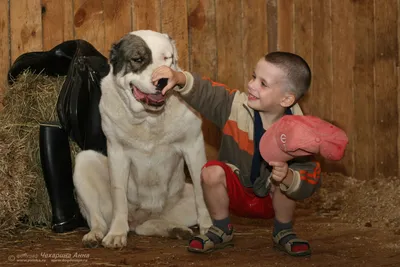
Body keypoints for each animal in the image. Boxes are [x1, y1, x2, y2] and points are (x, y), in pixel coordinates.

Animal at [74, 30, 214, 249]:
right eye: (138, 59)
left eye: (167, 59)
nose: (163, 80)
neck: (149, 119)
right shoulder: (117, 152)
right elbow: (119, 194)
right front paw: (116, 234)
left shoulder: (193, 145)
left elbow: (201, 192)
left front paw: (208, 227)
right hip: (84, 162)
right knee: (98, 218)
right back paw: (95, 234)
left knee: (148, 225)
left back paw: (176, 230)